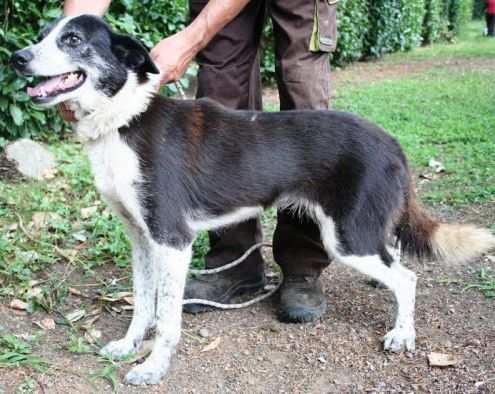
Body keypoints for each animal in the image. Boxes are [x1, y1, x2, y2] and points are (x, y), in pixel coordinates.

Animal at [11, 15, 495, 384]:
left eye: (72, 40)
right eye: (43, 33)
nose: (17, 58)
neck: (124, 120)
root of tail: (391, 141)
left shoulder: (172, 240)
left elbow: (165, 319)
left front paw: (153, 367)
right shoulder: (142, 240)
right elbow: (143, 303)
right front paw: (129, 345)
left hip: (347, 238)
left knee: (408, 278)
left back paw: (402, 334)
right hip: (360, 228)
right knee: (393, 254)